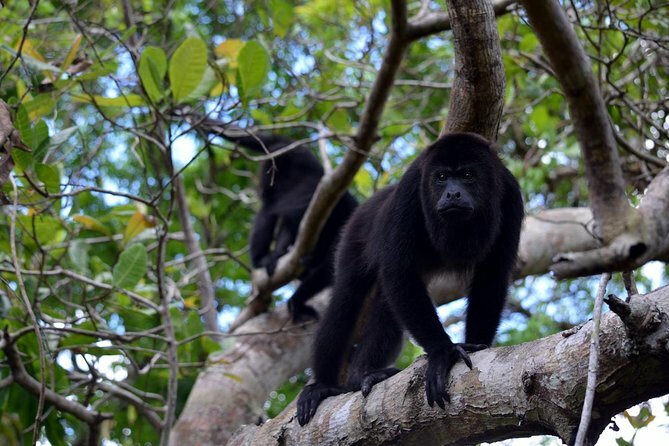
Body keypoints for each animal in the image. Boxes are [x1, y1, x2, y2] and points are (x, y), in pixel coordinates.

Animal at [296, 132, 524, 425]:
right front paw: (442, 352)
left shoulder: (511, 194)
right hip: (354, 234)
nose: (452, 193)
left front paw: (478, 346)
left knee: (385, 302)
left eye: (467, 175)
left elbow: (492, 277)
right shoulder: (411, 186)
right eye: (441, 177)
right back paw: (325, 385)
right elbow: (397, 270)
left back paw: (364, 374)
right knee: (346, 299)